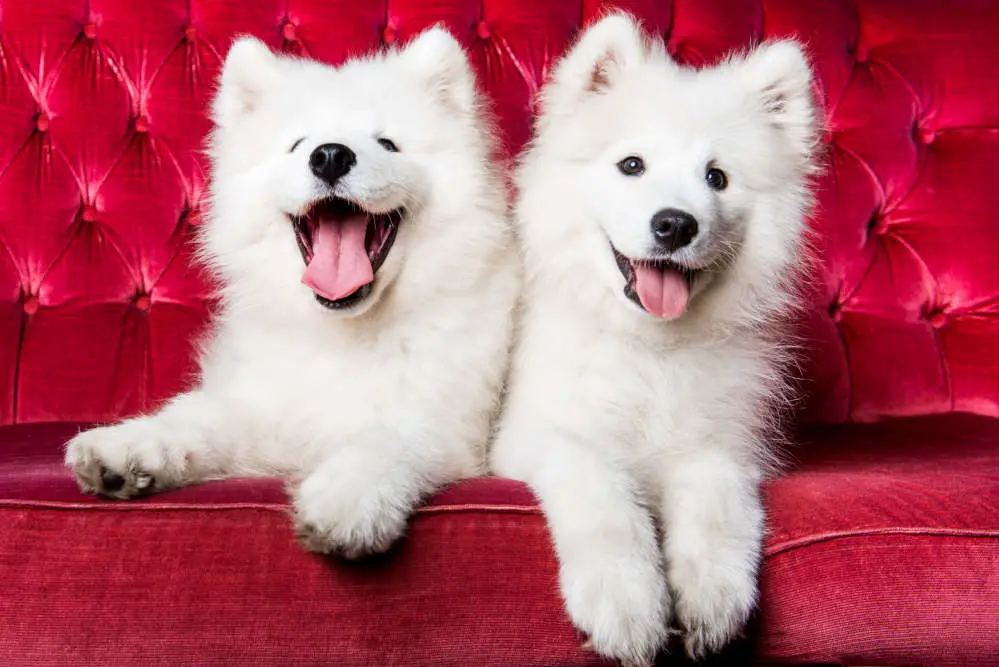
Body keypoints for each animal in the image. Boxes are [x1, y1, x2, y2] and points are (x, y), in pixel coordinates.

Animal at [63, 27, 520, 560]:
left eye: (387, 143)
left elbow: (384, 440)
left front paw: (345, 499)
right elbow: (197, 419)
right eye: (298, 144)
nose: (330, 155)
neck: (344, 333)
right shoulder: (265, 409)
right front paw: (129, 446)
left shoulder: (445, 429)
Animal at [492, 13, 820, 664]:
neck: (650, 347)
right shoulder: (537, 436)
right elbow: (601, 495)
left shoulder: (723, 446)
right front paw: (626, 603)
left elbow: (718, 502)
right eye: (632, 165)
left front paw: (713, 595)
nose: (674, 224)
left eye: (717, 178)